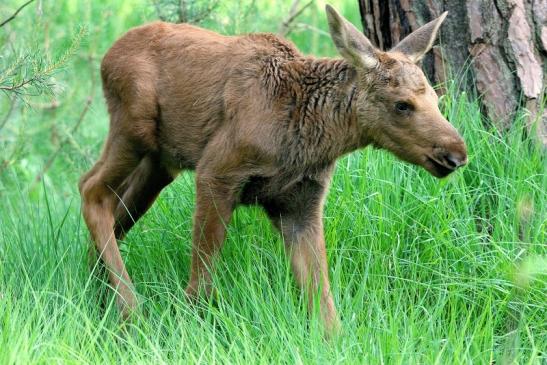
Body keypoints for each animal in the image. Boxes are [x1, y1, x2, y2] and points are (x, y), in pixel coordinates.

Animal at [80, 4, 466, 332]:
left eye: (436, 98)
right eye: (402, 105)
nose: (456, 154)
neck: (310, 135)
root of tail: (107, 57)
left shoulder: (300, 203)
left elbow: (324, 306)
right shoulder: (216, 171)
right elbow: (201, 280)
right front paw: (188, 328)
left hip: (161, 163)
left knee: (115, 210)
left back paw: (98, 293)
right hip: (135, 127)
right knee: (90, 189)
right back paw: (130, 310)